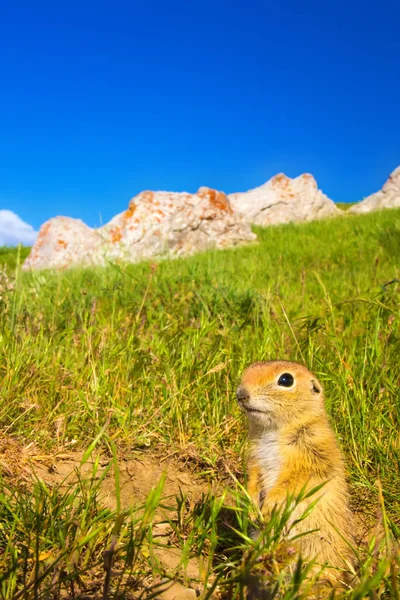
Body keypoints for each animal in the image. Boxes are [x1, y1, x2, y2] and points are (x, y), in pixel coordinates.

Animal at [236, 358, 354, 588]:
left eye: (286, 380)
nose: (241, 394)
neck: (273, 430)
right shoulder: (254, 458)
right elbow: (253, 477)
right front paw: (253, 507)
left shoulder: (310, 456)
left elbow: (292, 481)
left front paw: (269, 505)